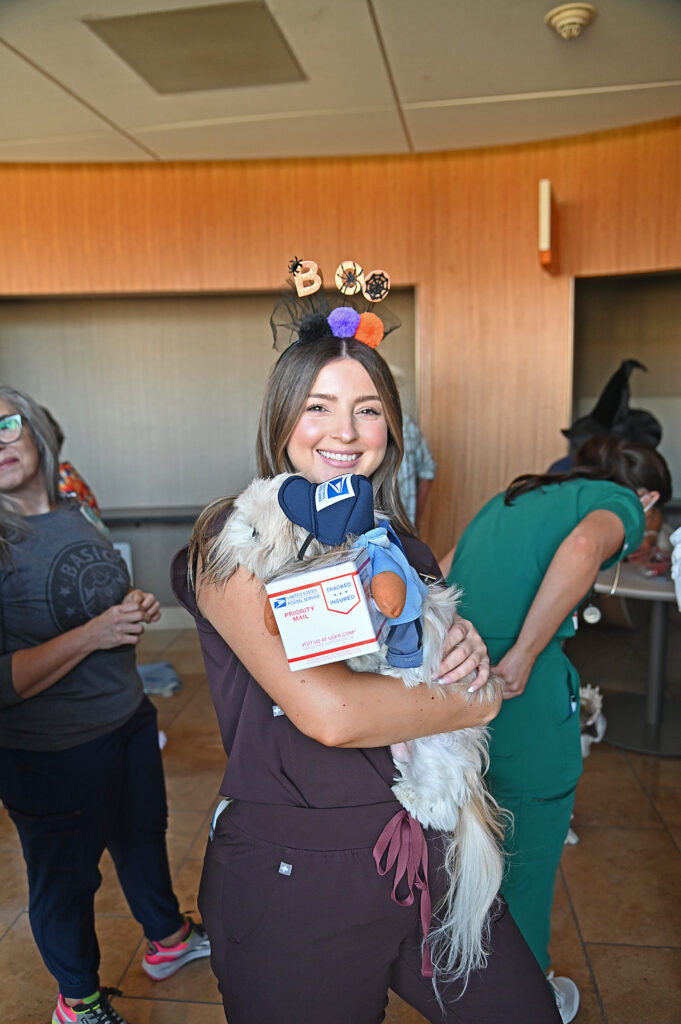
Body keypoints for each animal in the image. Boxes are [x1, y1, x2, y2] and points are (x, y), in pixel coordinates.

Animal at [206, 475, 503, 987]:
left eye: (257, 533)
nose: (233, 535)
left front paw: (372, 653)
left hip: (441, 762)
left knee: (443, 807)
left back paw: (415, 798)